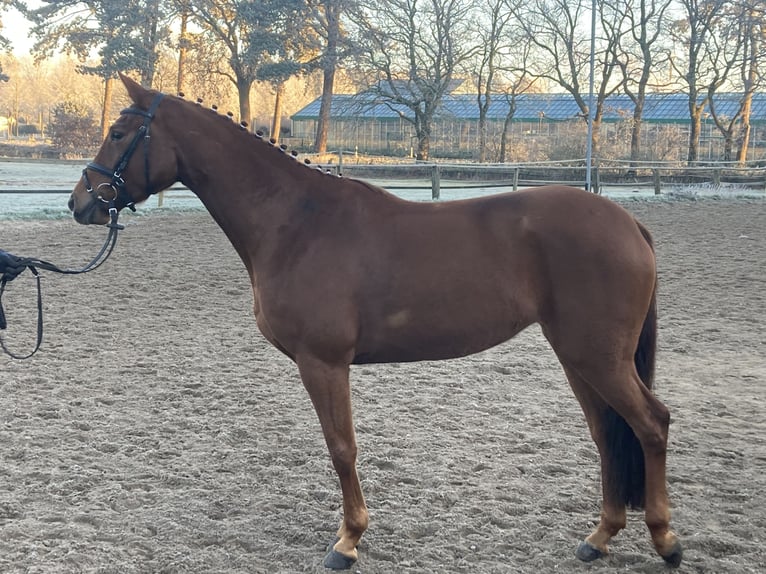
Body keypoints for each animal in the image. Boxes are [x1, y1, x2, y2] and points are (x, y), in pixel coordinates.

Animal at [70, 75, 684, 572]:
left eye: (120, 134)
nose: (82, 202)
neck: (298, 222)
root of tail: (628, 223)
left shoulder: (323, 363)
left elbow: (341, 447)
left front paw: (347, 542)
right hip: (579, 355)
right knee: (608, 434)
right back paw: (599, 538)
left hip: (597, 356)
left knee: (650, 424)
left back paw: (666, 541)